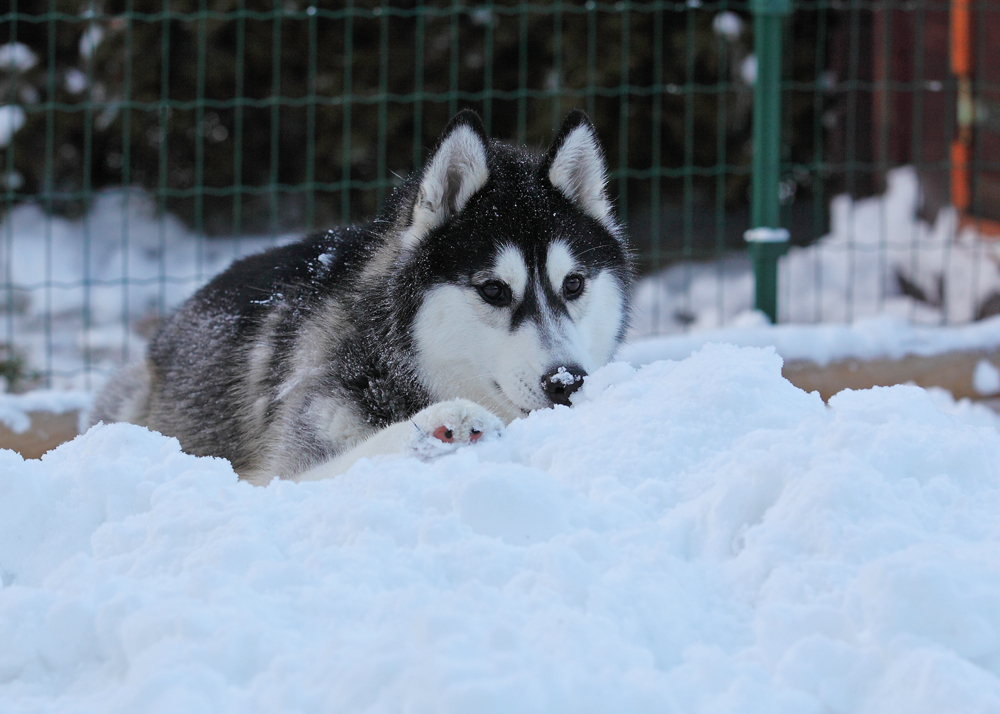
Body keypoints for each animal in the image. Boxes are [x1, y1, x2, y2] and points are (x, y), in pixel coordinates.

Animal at [90, 108, 628, 482]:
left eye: (573, 284)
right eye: (494, 289)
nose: (566, 381)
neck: (388, 358)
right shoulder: (276, 473)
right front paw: (439, 425)